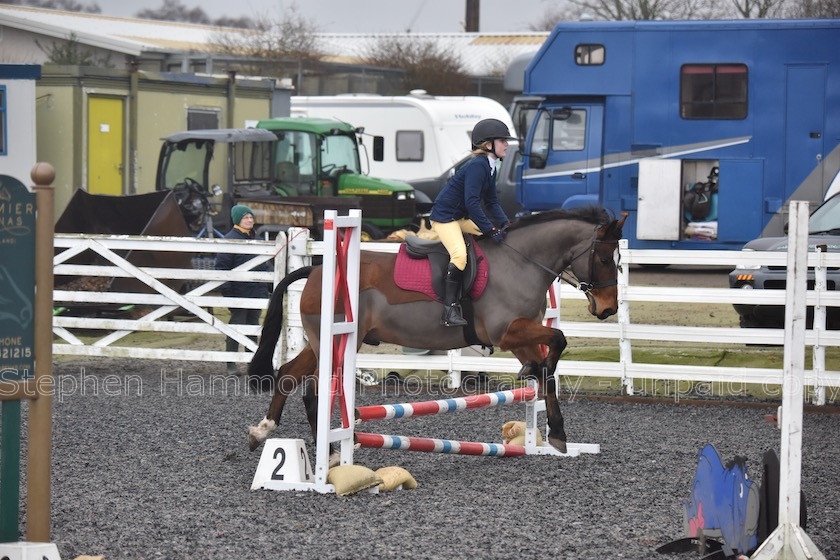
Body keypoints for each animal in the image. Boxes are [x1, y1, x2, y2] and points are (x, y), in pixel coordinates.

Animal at [246, 206, 628, 456]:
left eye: (619, 261)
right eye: (604, 259)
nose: (607, 309)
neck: (521, 262)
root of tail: (316, 270)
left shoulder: (523, 336)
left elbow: (546, 368)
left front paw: (557, 431)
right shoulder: (507, 333)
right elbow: (558, 341)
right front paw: (549, 407)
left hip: (322, 342)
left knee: (289, 375)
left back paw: (271, 433)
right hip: (334, 341)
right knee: (311, 388)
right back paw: (324, 449)